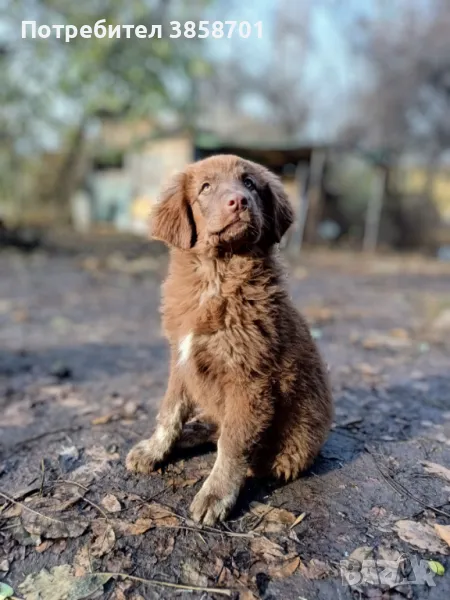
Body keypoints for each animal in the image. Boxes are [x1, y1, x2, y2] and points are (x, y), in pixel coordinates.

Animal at [125, 155, 332, 524]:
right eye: (206, 187)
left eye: (249, 183)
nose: (239, 201)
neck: (216, 277)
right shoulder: (180, 360)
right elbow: (169, 412)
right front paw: (154, 450)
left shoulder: (250, 380)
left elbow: (233, 444)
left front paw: (215, 495)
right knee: (214, 426)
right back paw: (192, 433)